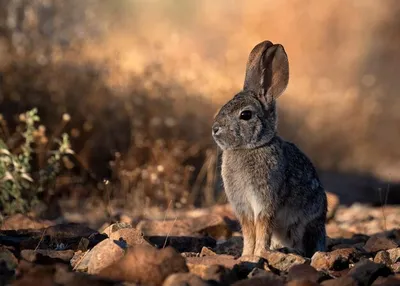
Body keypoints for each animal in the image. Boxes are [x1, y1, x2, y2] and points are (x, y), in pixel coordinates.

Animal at [211, 39, 326, 256]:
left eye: (246, 115)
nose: (215, 129)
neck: (250, 148)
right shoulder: (243, 206)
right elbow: (248, 230)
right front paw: (246, 255)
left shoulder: (265, 201)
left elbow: (262, 227)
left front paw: (258, 254)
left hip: (305, 226)